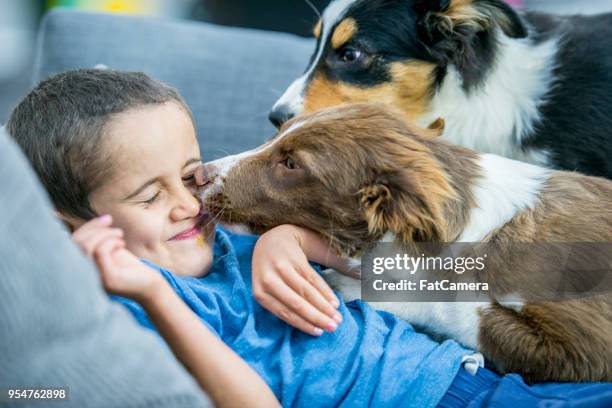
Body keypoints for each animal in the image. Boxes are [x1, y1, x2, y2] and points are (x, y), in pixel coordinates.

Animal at [201, 103, 612, 384]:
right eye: (277, 134)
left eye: (291, 164)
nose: (198, 174)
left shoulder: (585, 346)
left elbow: (452, 304)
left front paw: (353, 285)